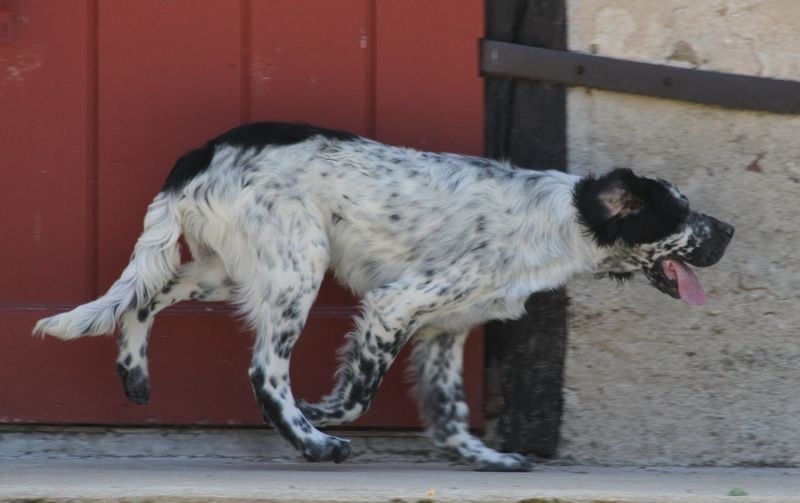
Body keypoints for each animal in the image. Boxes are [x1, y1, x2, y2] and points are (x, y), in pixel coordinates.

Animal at [34, 122, 736, 472]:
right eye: (681, 214)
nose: (729, 231)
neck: (561, 219)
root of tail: (200, 154)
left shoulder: (448, 327)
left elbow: (450, 411)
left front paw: (483, 457)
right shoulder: (397, 304)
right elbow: (358, 394)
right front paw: (321, 417)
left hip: (228, 267)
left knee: (143, 297)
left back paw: (134, 376)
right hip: (298, 266)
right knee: (265, 371)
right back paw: (313, 445)